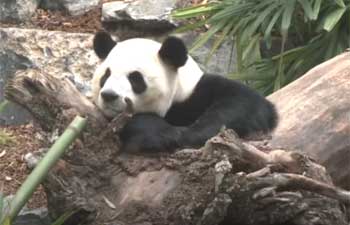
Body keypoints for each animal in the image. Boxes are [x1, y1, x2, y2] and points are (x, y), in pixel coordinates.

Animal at [91, 30, 278, 152]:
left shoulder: (198, 90)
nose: (109, 95)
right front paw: (162, 135)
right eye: (106, 75)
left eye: (135, 78)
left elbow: (243, 103)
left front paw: (187, 135)